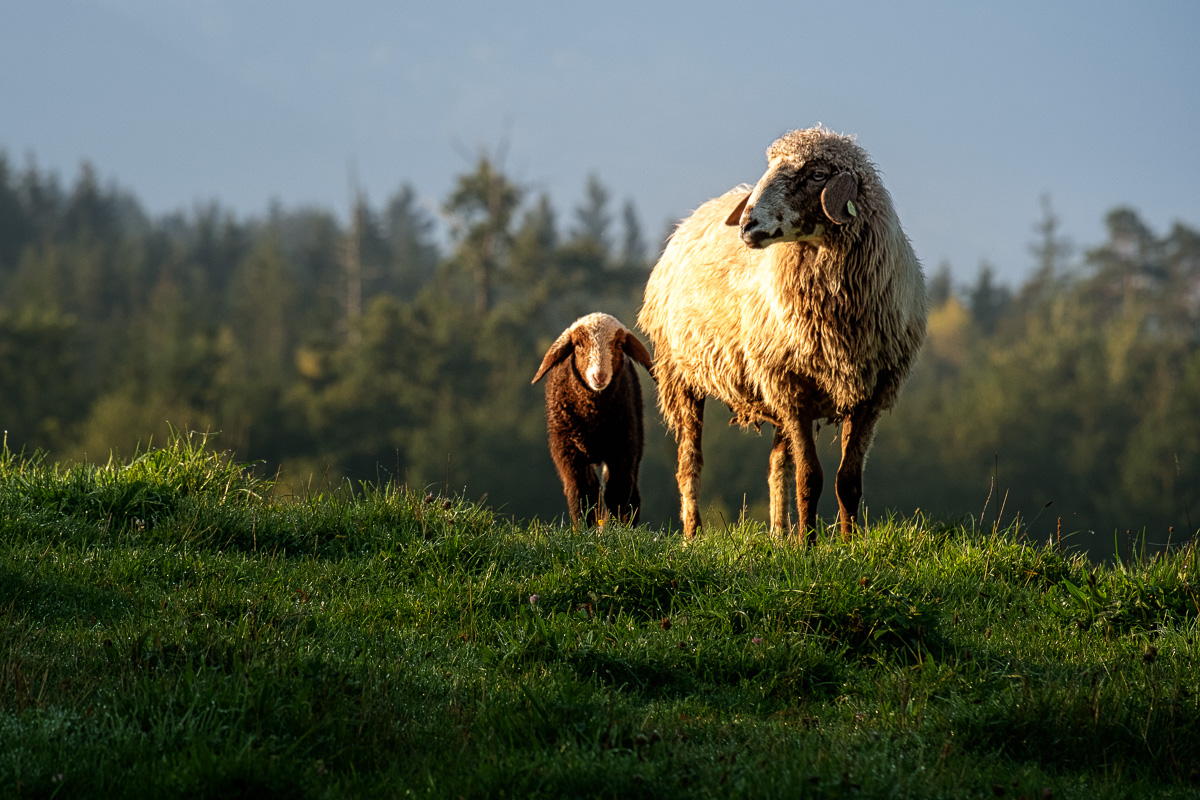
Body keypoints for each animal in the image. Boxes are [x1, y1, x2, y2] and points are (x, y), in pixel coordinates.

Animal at [530, 314, 652, 532]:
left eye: (618, 344)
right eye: (578, 344)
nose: (599, 376)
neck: (593, 416)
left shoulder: (621, 448)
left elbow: (617, 490)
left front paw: (612, 530)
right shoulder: (569, 453)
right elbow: (581, 493)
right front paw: (583, 530)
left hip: (635, 437)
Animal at [638, 126, 926, 544]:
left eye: (817, 175)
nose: (747, 224)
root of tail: (689, 221)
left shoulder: (869, 394)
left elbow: (847, 481)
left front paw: (849, 544)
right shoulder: (795, 389)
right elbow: (810, 477)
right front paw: (808, 545)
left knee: (777, 463)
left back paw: (779, 532)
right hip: (682, 374)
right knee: (690, 461)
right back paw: (694, 533)